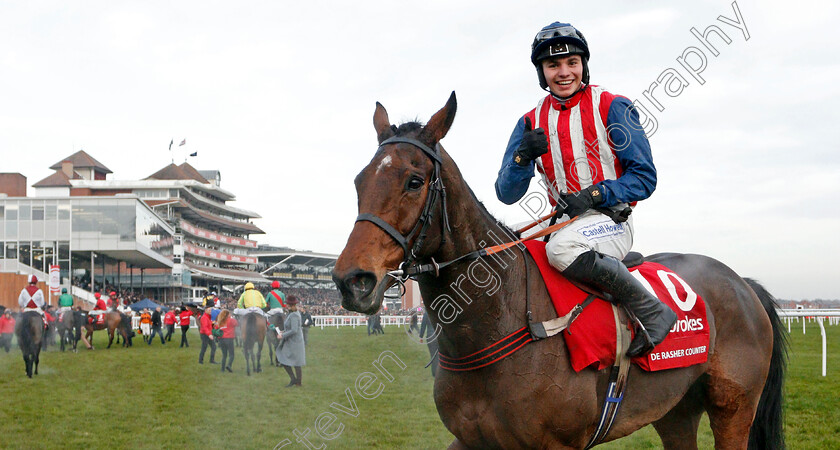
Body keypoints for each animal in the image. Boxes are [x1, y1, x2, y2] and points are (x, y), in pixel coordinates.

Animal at [334, 93, 788, 448]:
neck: (497, 319)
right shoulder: (470, 439)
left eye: (414, 181)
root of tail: (743, 283)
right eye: (358, 181)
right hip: (675, 407)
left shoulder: (557, 444)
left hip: (733, 408)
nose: (351, 281)